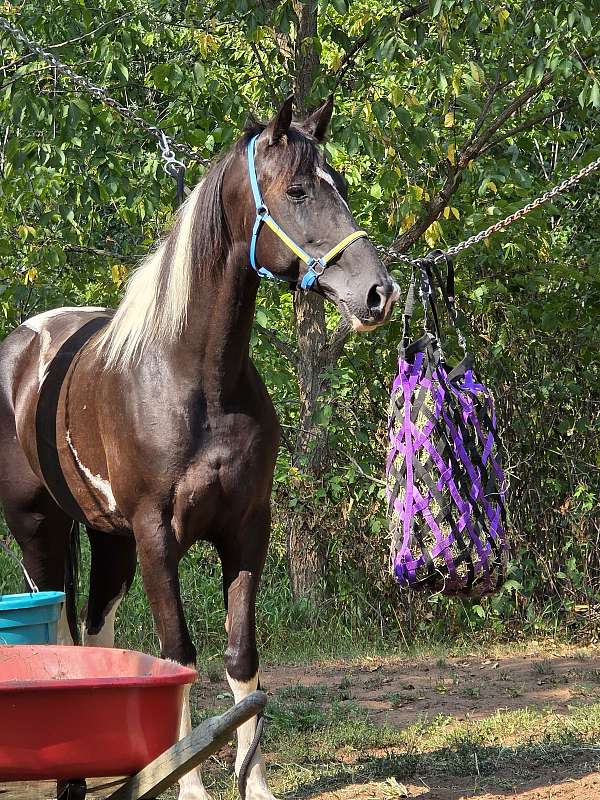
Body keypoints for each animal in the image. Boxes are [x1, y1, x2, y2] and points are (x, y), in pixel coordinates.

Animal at [0, 96, 399, 800]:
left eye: (343, 188)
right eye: (297, 191)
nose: (378, 294)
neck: (196, 379)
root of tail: (24, 345)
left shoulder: (245, 529)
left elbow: (240, 656)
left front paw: (253, 782)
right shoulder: (158, 535)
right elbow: (177, 655)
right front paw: (187, 782)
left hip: (109, 540)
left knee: (98, 634)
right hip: (38, 533)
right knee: (60, 638)